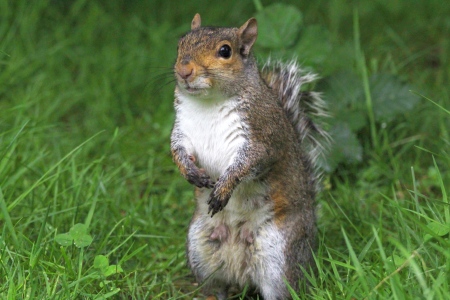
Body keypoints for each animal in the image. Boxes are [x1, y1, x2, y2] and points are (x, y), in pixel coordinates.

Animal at [171, 12, 328, 298]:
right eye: (180, 44)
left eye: (225, 51)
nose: (184, 71)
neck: (208, 103)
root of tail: (240, 271)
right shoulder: (183, 132)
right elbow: (177, 150)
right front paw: (189, 171)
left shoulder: (262, 136)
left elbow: (248, 164)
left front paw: (223, 189)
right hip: (200, 249)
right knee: (215, 286)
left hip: (278, 255)